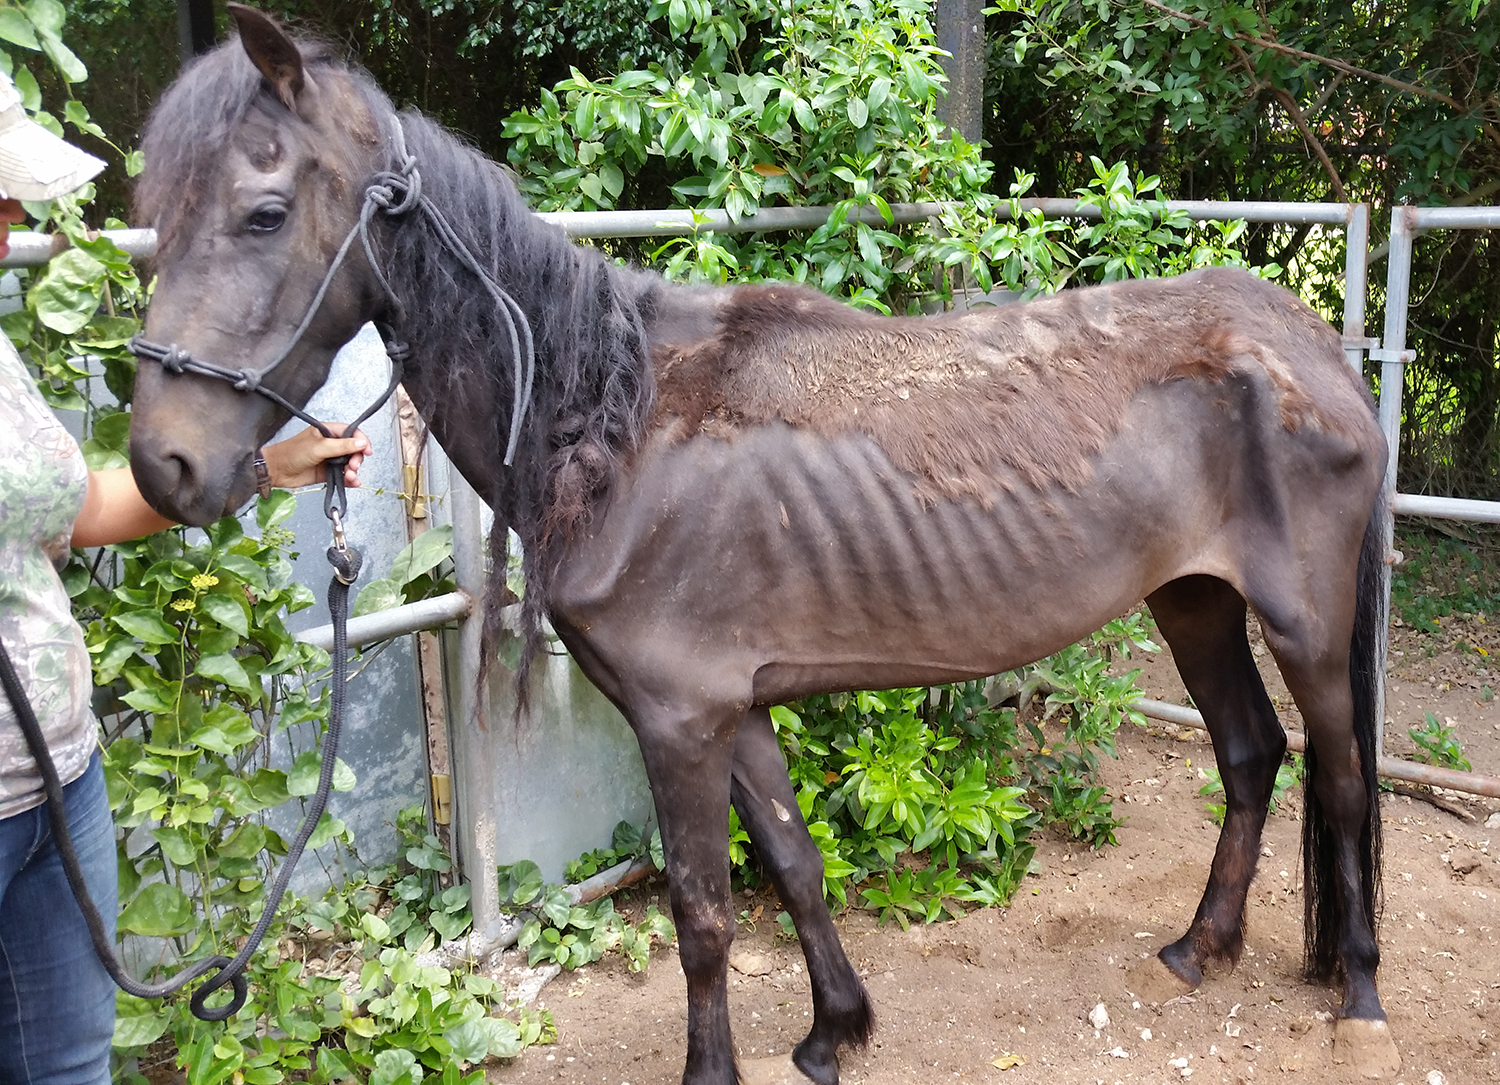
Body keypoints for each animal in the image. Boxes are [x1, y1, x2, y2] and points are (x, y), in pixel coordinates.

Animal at [125, 7, 1397, 1082]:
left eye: (263, 213)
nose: (161, 466)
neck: (616, 424)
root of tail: (1312, 346)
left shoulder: (678, 719)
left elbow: (704, 911)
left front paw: (716, 1067)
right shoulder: (730, 708)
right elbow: (794, 863)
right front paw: (835, 1031)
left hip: (1305, 621)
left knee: (1340, 774)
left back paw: (1361, 995)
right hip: (1192, 598)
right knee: (1250, 754)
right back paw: (1199, 946)